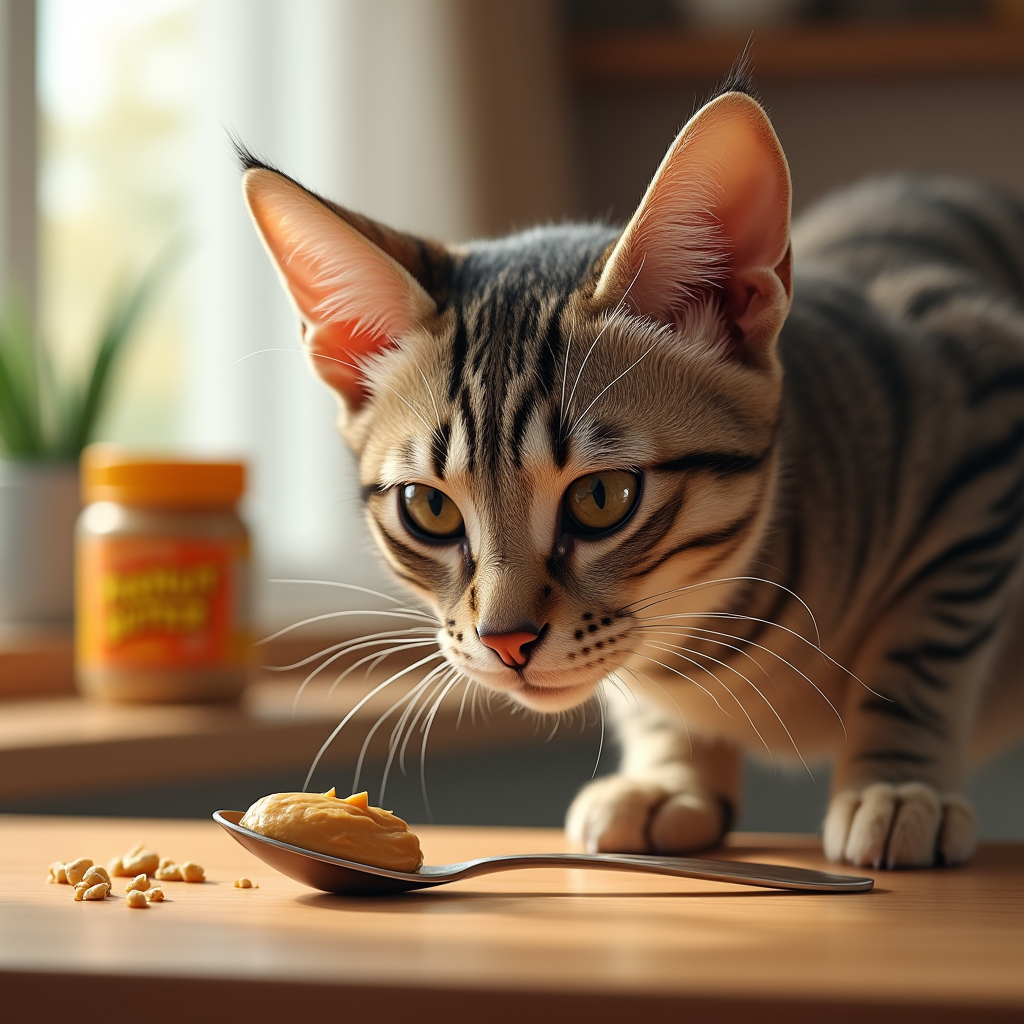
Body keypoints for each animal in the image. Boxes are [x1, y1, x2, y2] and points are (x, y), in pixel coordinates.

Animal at [241, 74, 1024, 872]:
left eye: (601, 497)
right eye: (429, 510)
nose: (506, 642)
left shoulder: (986, 442)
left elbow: (922, 654)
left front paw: (896, 786)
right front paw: (670, 780)